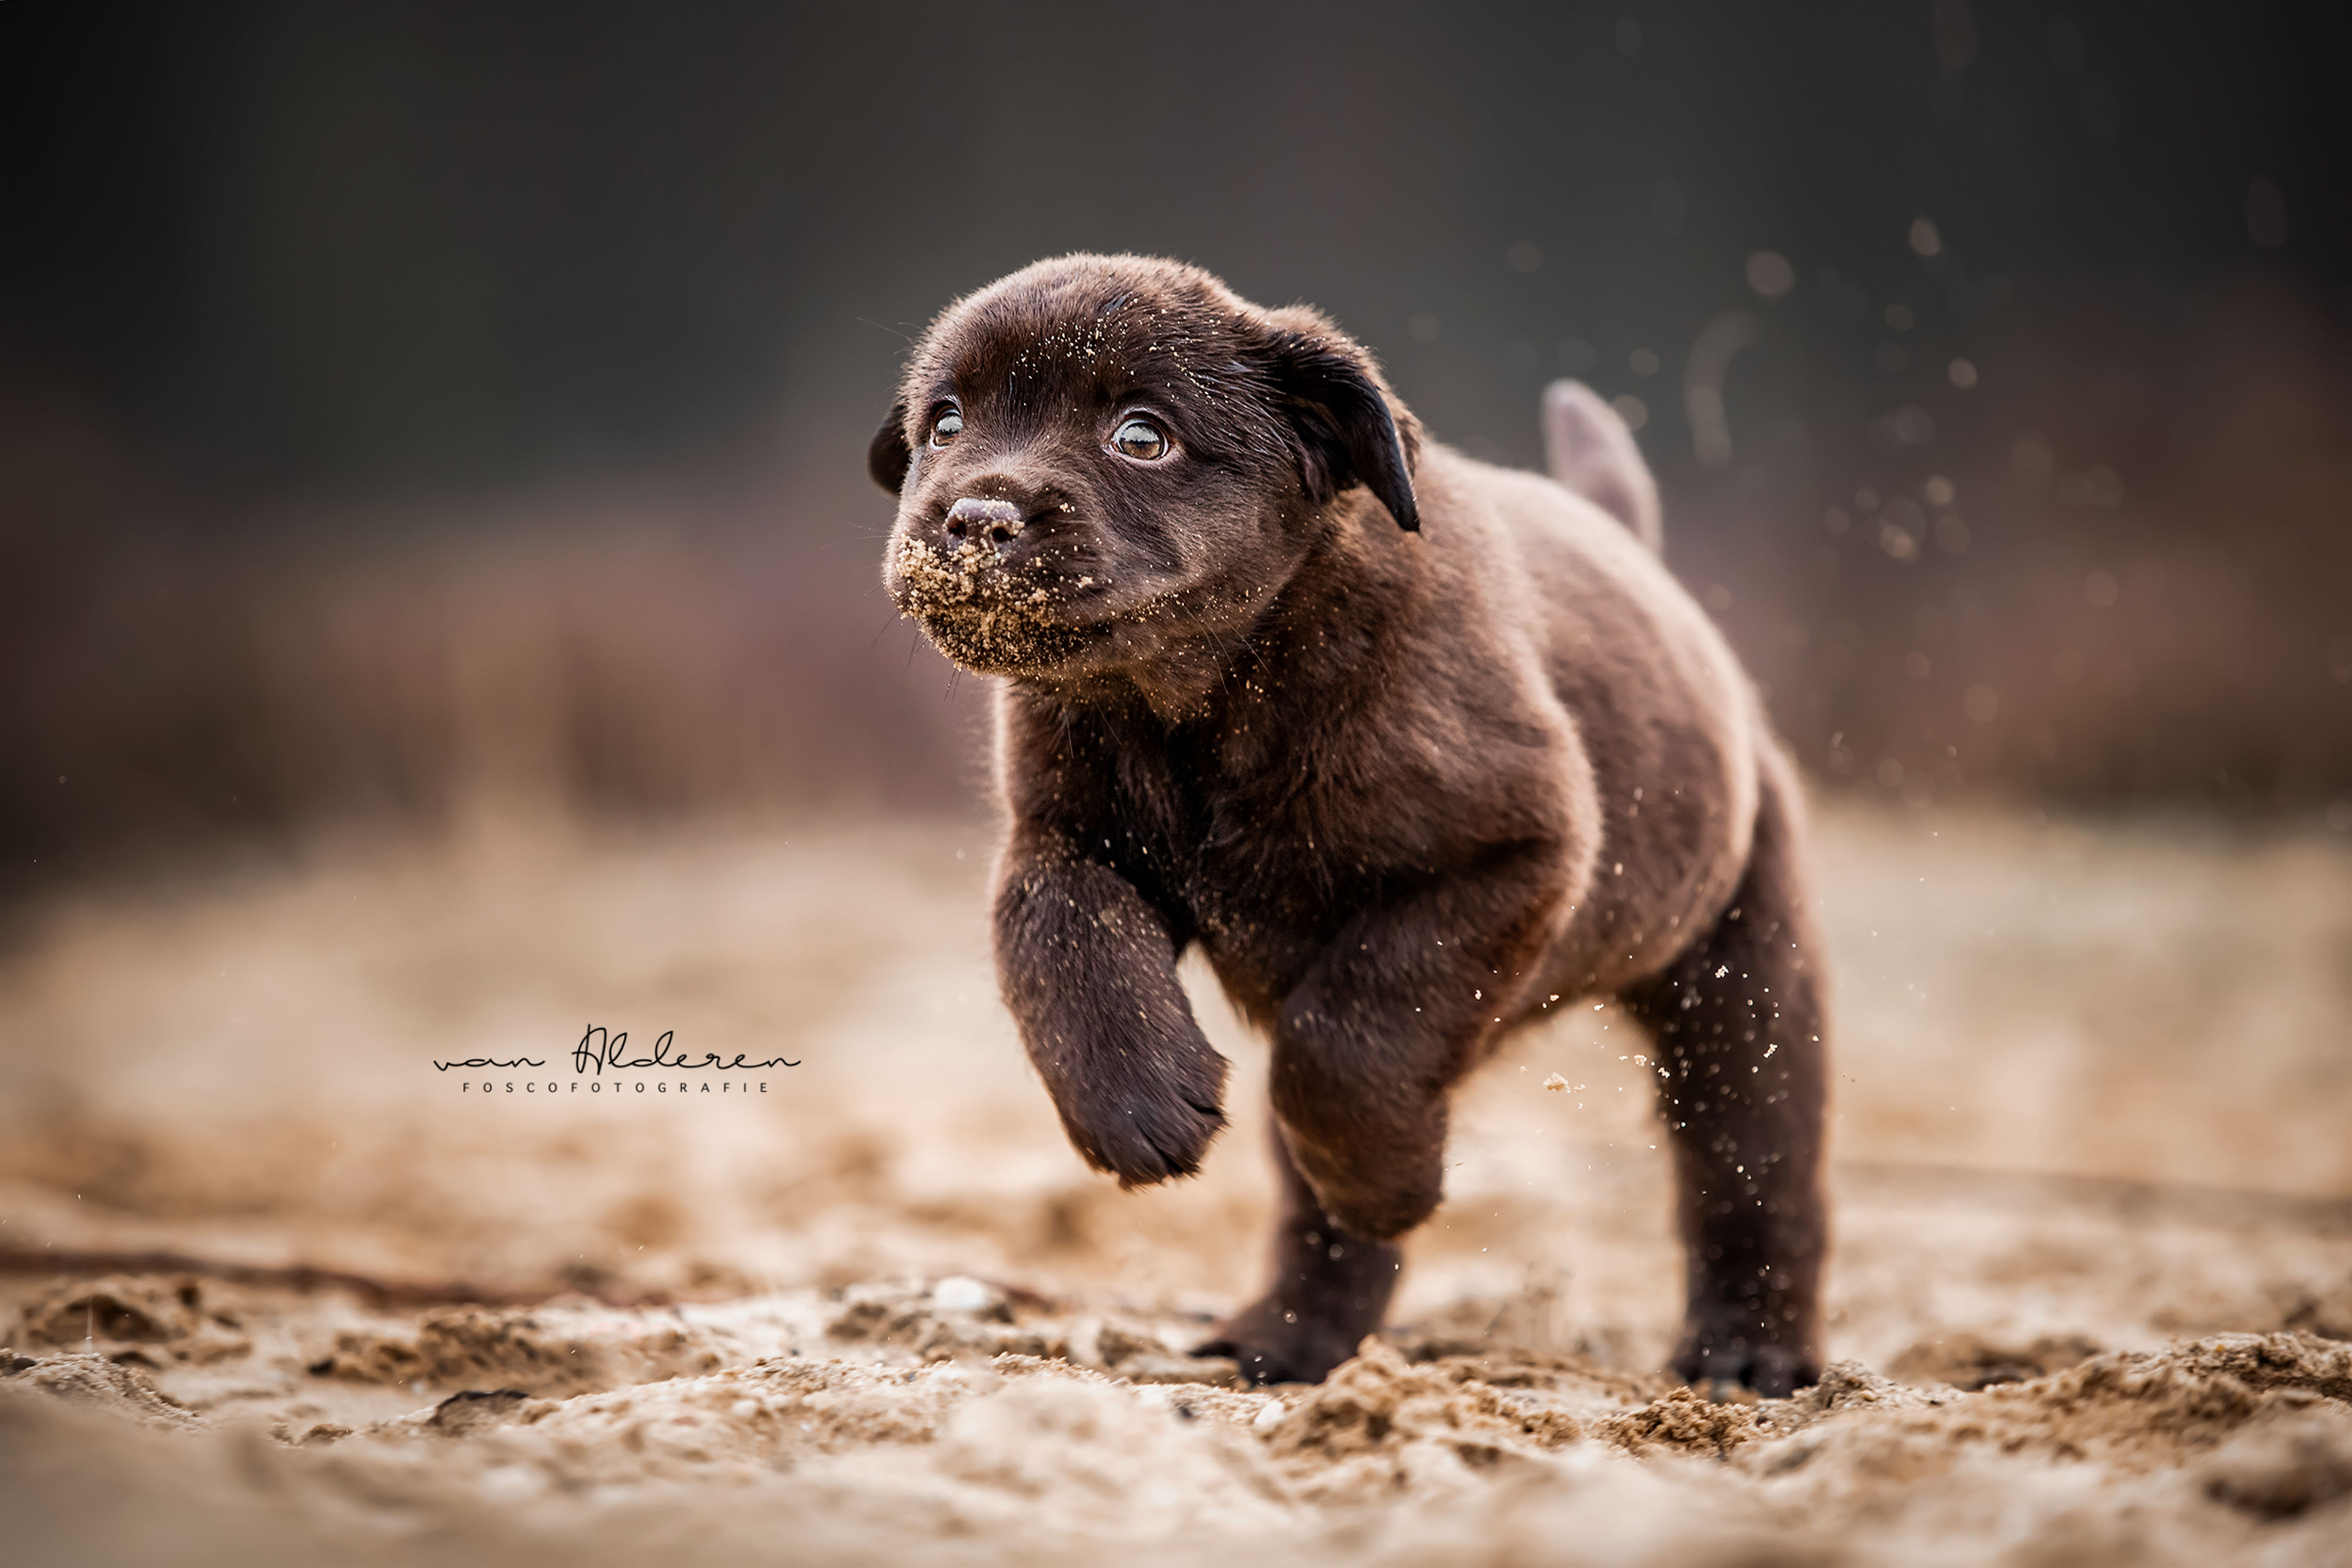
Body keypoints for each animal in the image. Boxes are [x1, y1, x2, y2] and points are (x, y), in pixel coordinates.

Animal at [875, 257, 1825, 1401]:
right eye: (945, 424)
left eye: (1142, 436)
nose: (976, 516)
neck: (1208, 702)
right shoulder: (1064, 836)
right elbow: (1059, 941)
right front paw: (1138, 1107)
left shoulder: (1512, 854)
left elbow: (1352, 1039)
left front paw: (1388, 1183)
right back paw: (1291, 1343)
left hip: (1745, 984)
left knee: (1756, 1174)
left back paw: (1747, 1354)